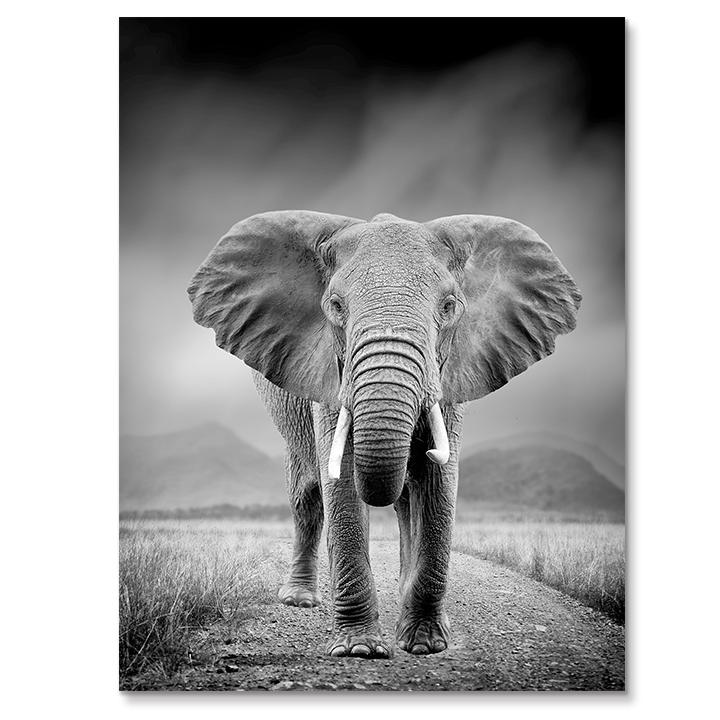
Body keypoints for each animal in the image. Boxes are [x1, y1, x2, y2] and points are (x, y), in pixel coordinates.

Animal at [187, 211, 580, 659]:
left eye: (449, 307)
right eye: (335, 306)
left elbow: (439, 483)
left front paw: (425, 644)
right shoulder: (331, 375)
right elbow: (340, 483)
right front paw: (360, 650)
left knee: (407, 500)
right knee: (307, 497)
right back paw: (299, 600)